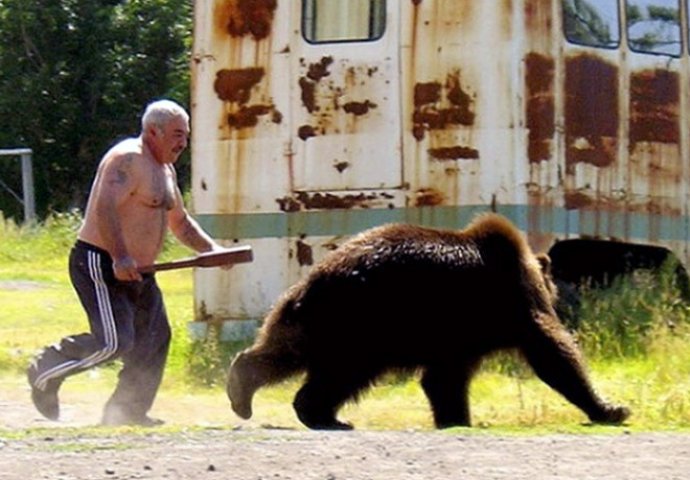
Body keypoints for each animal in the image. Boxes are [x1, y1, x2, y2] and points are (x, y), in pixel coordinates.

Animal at [226, 212, 628, 430]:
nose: (563, 294)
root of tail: (314, 279)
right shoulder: (510, 302)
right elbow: (551, 351)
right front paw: (611, 408)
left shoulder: (458, 335)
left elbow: (443, 379)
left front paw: (455, 417)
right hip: (363, 321)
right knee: (344, 373)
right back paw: (321, 413)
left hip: (311, 319)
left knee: (284, 352)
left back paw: (246, 391)